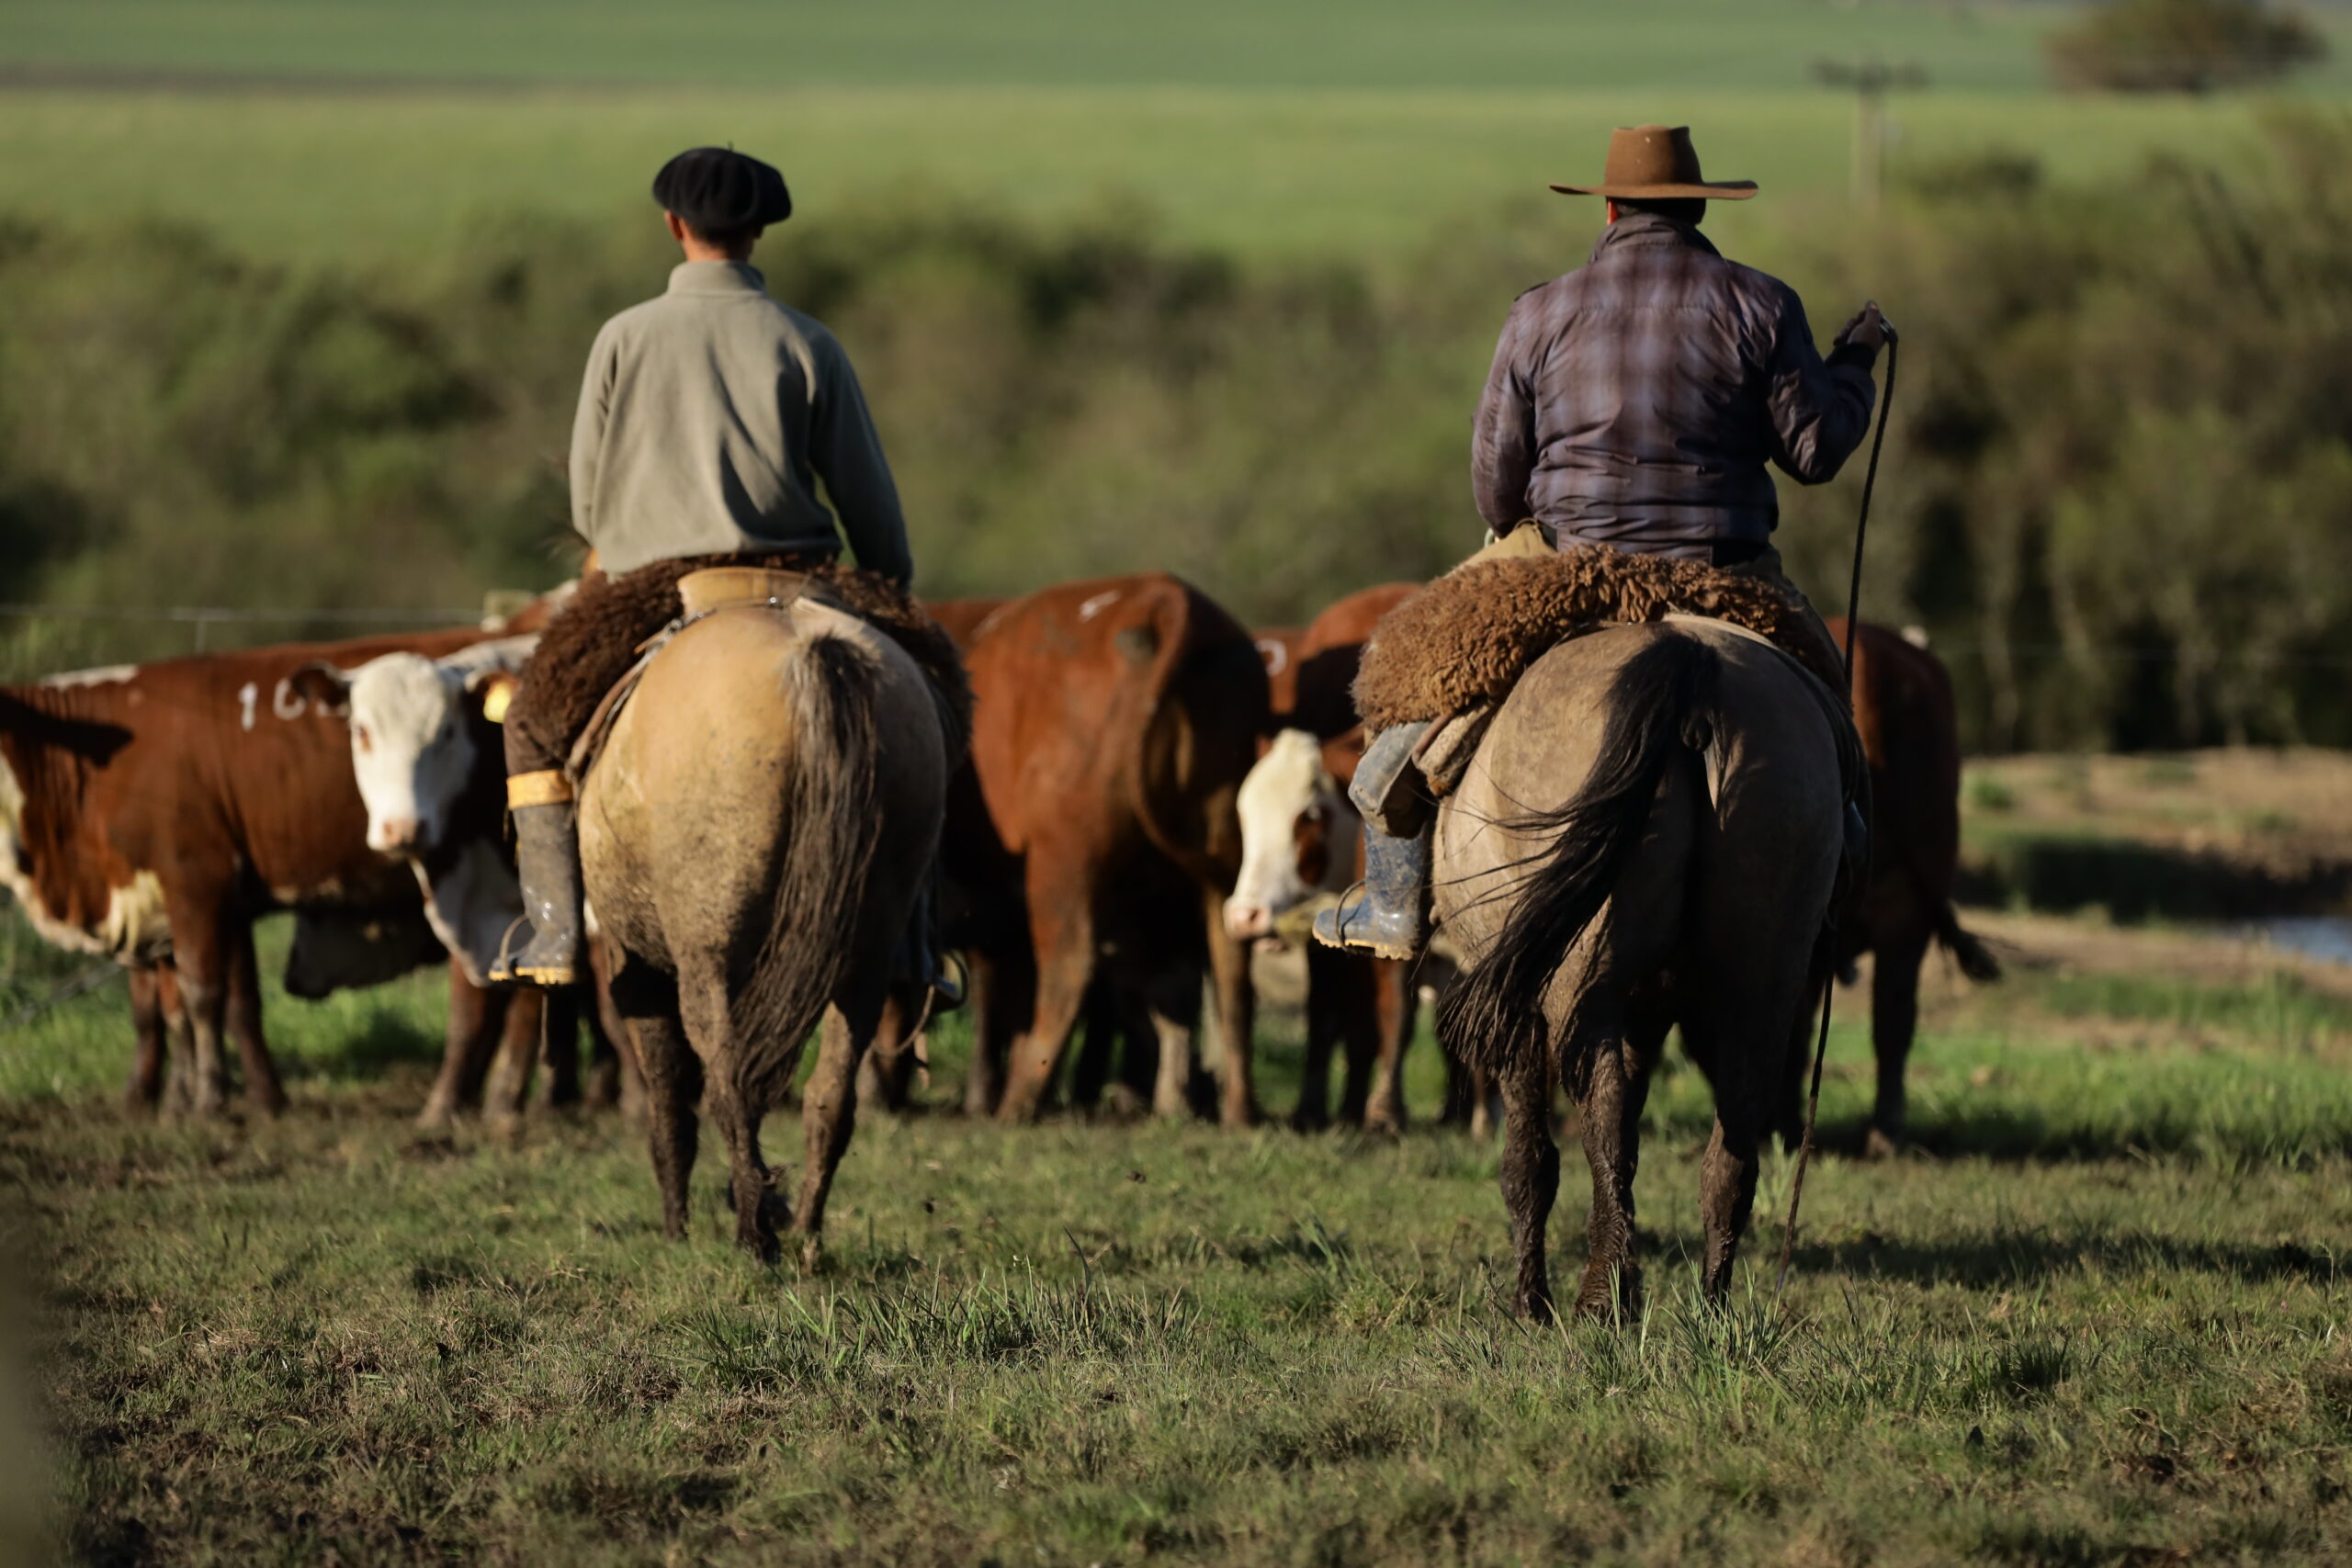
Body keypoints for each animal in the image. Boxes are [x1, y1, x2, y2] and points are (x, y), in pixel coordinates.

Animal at [935, 576, 1279, 1128]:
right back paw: (1236, 1109)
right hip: (1221, 850)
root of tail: (1162, 596)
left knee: (1069, 967)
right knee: (1230, 971)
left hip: (1063, 860)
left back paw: (1020, 1100)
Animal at [1430, 620, 1853, 1316]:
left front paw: (1529, 1302)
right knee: (1733, 1135)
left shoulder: (1519, 1006)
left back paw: (1604, 1297)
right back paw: (1710, 1305)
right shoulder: (1648, 1011)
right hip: (1762, 973)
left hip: (1584, 981)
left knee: (1598, 1114)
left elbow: (1529, 1160)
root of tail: (1690, 658)